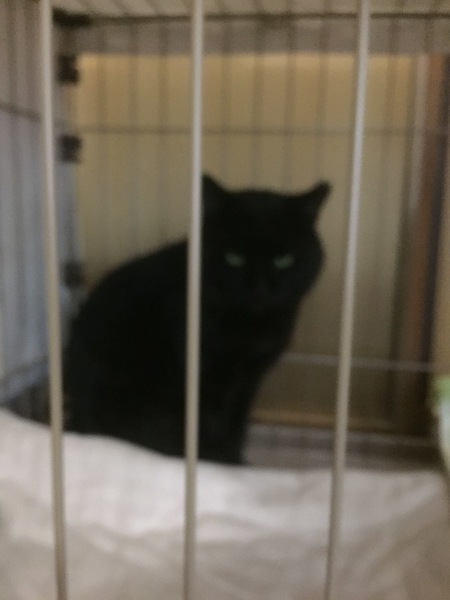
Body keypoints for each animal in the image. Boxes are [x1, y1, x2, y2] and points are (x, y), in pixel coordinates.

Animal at [65, 175, 330, 464]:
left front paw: (235, 457)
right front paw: (222, 463)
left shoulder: (249, 381)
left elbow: (236, 424)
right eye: (234, 258)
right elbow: (212, 426)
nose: (259, 287)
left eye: (283, 260)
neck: (250, 326)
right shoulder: (206, 376)